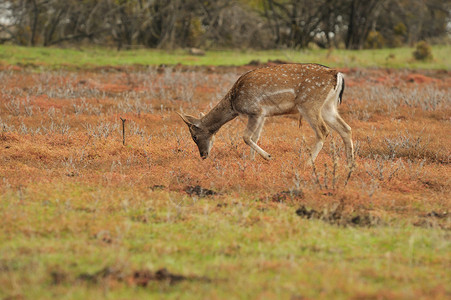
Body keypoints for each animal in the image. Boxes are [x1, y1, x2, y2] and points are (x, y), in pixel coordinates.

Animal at [178, 63, 354, 166]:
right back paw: (350, 164)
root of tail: (337, 75)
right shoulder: (262, 115)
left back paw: (306, 164)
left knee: (323, 131)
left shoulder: (255, 110)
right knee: (346, 128)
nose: (203, 155)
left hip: (309, 104)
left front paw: (268, 157)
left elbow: (246, 137)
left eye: (194, 136)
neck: (233, 103)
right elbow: (255, 137)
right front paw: (252, 161)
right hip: (328, 106)